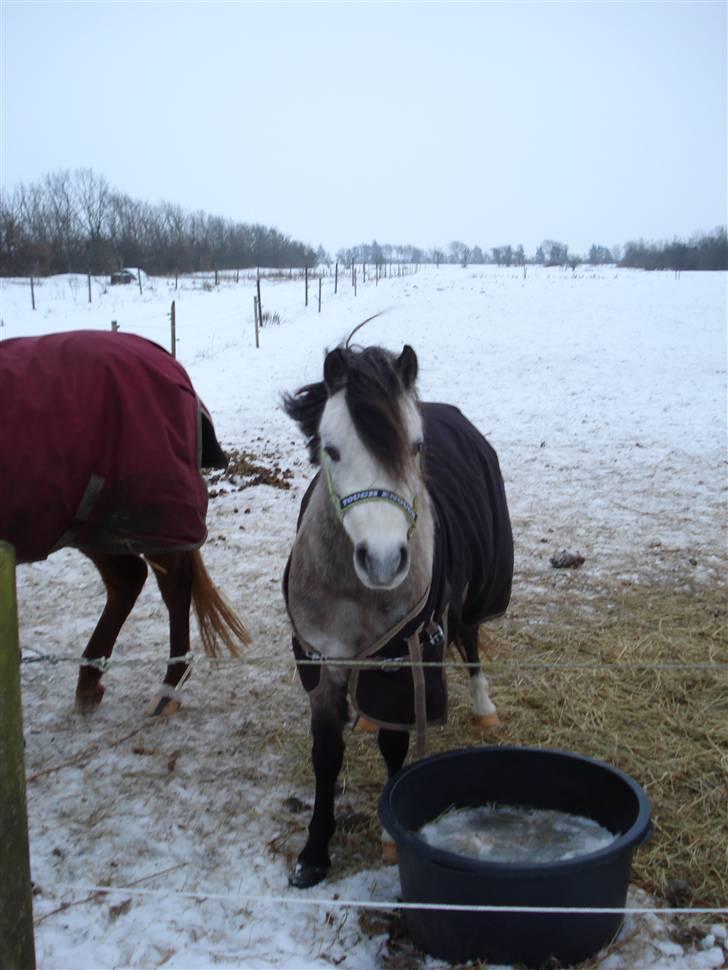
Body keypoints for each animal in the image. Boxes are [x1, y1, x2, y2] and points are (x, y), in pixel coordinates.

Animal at [0, 329, 250, 715]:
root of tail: (167, 361)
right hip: (93, 524)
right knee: (128, 579)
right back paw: (91, 681)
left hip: (140, 515)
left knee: (169, 584)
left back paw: (168, 686)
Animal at [282, 342, 513, 887]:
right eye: (331, 449)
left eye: (415, 446)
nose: (384, 560)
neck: (354, 592)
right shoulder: (322, 661)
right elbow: (326, 754)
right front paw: (314, 853)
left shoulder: (401, 659)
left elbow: (395, 745)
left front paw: (392, 835)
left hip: (472, 594)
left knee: (470, 637)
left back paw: (484, 708)